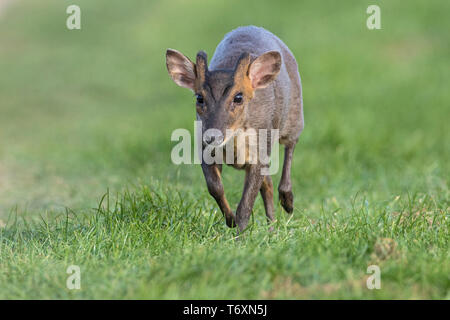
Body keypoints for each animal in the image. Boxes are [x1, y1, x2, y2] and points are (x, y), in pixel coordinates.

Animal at [163, 25, 304, 232]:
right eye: (199, 97)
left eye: (238, 97)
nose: (212, 136)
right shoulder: (204, 150)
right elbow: (215, 187)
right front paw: (230, 220)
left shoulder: (260, 152)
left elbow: (246, 203)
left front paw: (240, 234)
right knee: (267, 184)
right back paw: (272, 228)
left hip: (294, 115)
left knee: (291, 145)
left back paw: (288, 202)